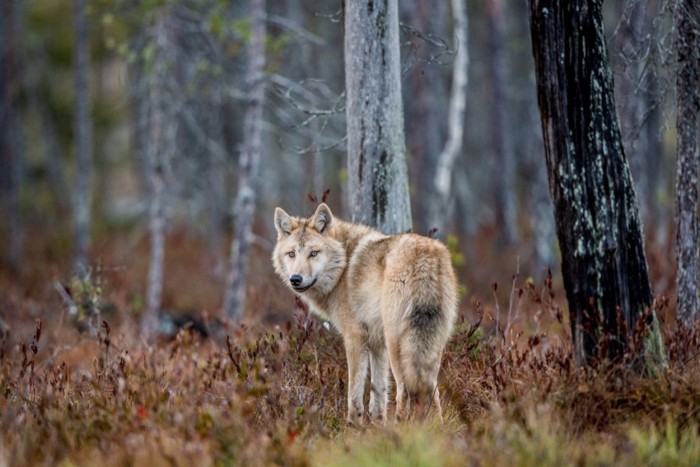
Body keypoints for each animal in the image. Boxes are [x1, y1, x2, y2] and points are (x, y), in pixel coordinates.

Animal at [272, 204, 460, 424]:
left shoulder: (355, 337)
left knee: (404, 390)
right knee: (432, 390)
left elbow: (354, 391)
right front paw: (378, 426)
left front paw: (353, 425)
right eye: (291, 254)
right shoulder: (377, 344)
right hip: (431, 346)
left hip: (397, 344)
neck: (342, 268)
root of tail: (425, 255)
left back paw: (402, 426)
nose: (295, 279)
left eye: (313, 253)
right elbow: (378, 393)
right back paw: (435, 428)